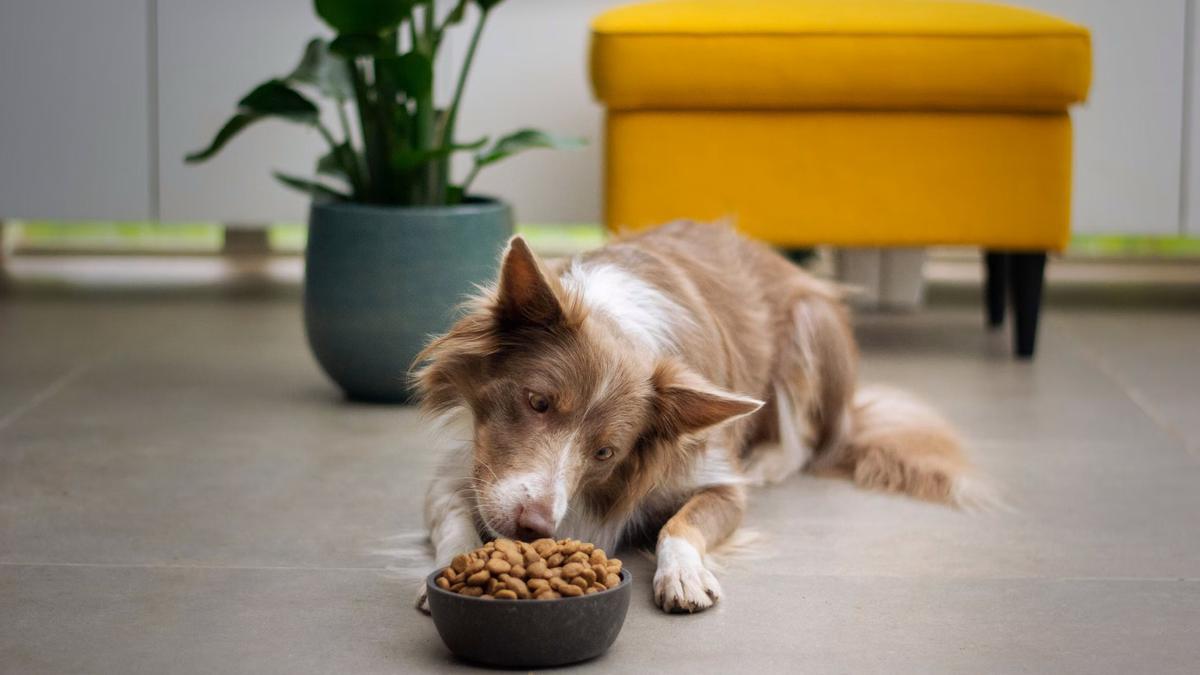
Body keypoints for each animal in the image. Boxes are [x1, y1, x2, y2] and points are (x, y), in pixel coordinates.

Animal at [417, 220, 969, 610]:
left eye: (605, 452)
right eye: (537, 402)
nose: (534, 527)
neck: (618, 323)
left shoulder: (717, 478)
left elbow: (679, 525)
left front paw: (682, 573)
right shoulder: (466, 468)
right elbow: (453, 518)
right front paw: (451, 569)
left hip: (812, 326)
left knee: (811, 441)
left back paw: (769, 461)